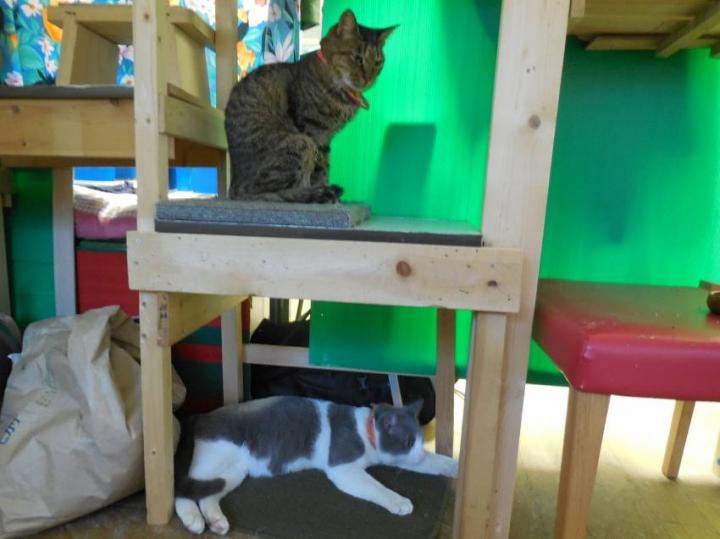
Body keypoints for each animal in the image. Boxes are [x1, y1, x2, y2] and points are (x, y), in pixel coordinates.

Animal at [174, 396, 458, 535]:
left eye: (420, 440)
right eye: (408, 441)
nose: (418, 452)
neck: (366, 431)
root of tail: (200, 417)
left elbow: (433, 462)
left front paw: (453, 465)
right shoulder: (342, 468)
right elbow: (375, 486)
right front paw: (399, 501)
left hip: (233, 473)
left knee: (207, 496)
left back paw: (216, 521)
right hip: (210, 463)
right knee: (182, 492)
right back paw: (193, 521)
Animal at [224, 9, 396, 203]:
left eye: (378, 63)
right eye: (357, 58)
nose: (369, 79)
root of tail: (232, 184)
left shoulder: (325, 139)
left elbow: (324, 167)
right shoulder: (313, 132)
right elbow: (319, 169)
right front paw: (322, 190)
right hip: (301, 143)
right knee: (257, 192)